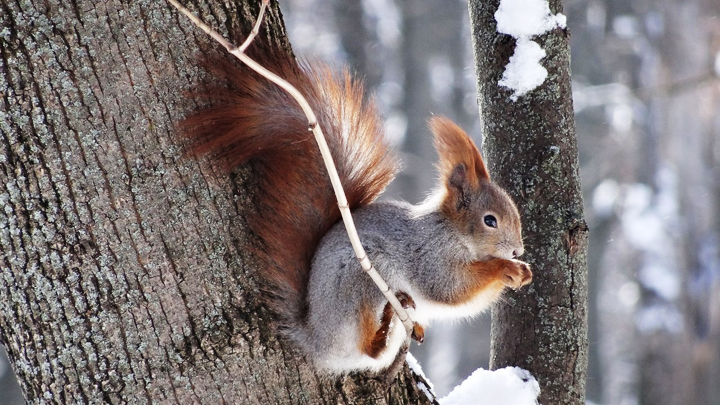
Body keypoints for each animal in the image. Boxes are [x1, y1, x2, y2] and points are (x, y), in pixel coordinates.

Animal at [181, 41, 532, 374]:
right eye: (490, 220)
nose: (517, 250)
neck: (454, 232)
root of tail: (317, 339)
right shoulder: (430, 256)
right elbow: (451, 289)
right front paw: (506, 268)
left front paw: (522, 272)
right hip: (359, 282)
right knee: (368, 348)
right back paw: (386, 323)